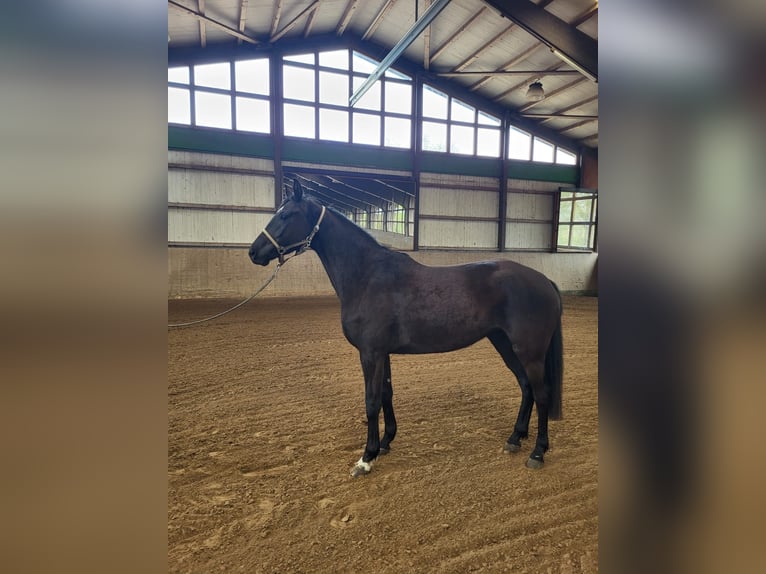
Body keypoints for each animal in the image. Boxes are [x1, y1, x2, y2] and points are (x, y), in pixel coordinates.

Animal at [249, 179, 563, 477]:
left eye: (286, 215)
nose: (254, 252)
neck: (367, 276)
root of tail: (544, 280)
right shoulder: (382, 353)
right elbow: (387, 394)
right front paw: (385, 443)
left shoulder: (370, 353)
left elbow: (371, 401)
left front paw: (366, 458)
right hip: (504, 343)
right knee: (526, 387)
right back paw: (514, 438)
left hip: (529, 351)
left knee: (542, 393)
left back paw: (537, 452)